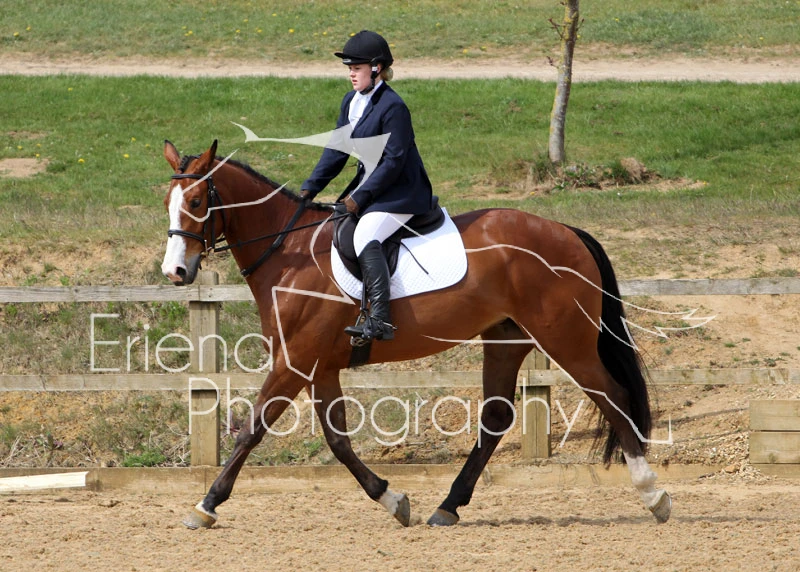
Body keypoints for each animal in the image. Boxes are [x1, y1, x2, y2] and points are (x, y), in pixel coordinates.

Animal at [161, 139, 672, 529]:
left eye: (198, 203)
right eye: (168, 204)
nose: (175, 272)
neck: (290, 253)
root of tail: (565, 230)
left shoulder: (294, 362)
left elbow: (252, 430)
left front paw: (205, 506)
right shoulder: (320, 367)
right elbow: (339, 441)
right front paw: (393, 500)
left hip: (566, 341)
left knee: (613, 397)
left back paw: (653, 494)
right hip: (506, 341)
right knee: (497, 418)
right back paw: (448, 507)